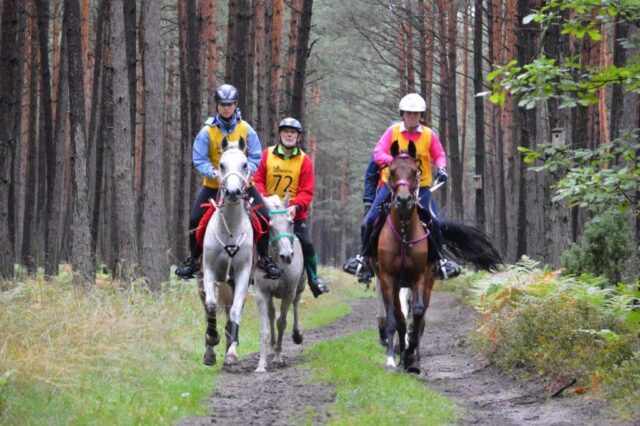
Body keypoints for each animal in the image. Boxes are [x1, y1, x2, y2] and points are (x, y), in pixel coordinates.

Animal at [252, 195, 304, 372]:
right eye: (269, 226)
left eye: (291, 222)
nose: (287, 255)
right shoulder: (262, 293)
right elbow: (265, 329)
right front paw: (261, 365)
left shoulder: (289, 292)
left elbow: (282, 322)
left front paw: (278, 357)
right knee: (271, 314)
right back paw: (271, 348)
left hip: (299, 287)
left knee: (296, 304)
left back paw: (297, 334)